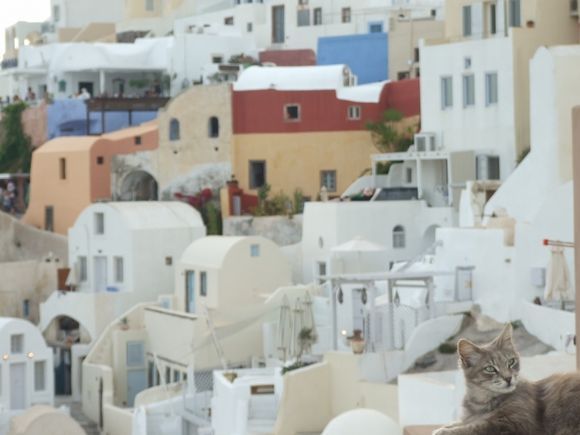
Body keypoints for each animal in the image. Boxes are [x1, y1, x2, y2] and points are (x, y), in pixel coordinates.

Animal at [432, 324, 580, 435]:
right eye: (490, 368)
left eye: (511, 362)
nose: (508, 378)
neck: (482, 402)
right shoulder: (470, 416)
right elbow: (460, 422)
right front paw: (446, 426)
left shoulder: (515, 423)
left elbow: (476, 428)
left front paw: (443, 431)